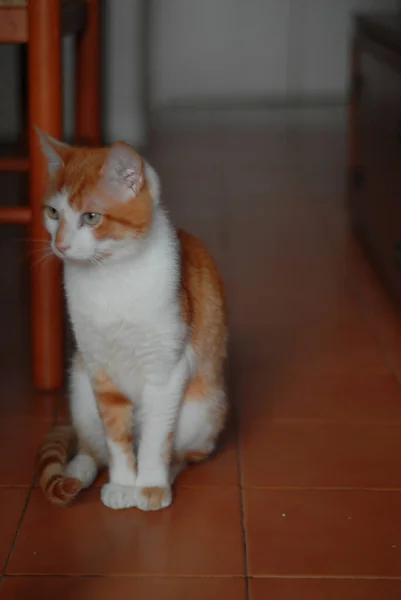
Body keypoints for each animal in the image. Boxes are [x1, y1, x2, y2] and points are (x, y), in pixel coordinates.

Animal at [36, 131, 228, 510]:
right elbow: (115, 437)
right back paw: (74, 475)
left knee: (184, 454)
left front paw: (149, 485)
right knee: (91, 451)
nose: (60, 244)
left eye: (91, 217)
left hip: (201, 410)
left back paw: (167, 474)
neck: (111, 278)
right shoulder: (99, 371)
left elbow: (155, 436)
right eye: (53, 213)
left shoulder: (166, 370)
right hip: (80, 391)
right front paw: (123, 483)